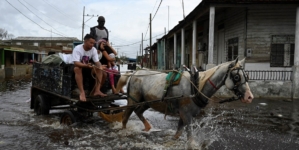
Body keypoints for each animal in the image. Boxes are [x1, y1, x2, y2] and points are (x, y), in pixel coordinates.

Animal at [118, 58, 254, 142]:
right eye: (236, 77)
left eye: (246, 76)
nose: (249, 97)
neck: (196, 86)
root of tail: (134, 73)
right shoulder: (186, 115)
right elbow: (190, 137)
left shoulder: (184, 115)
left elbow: (178, 133)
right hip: (133, 100)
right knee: (125, 117)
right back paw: (124, 130)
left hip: (148, 102)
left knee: (138, 111)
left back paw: (147, 128)